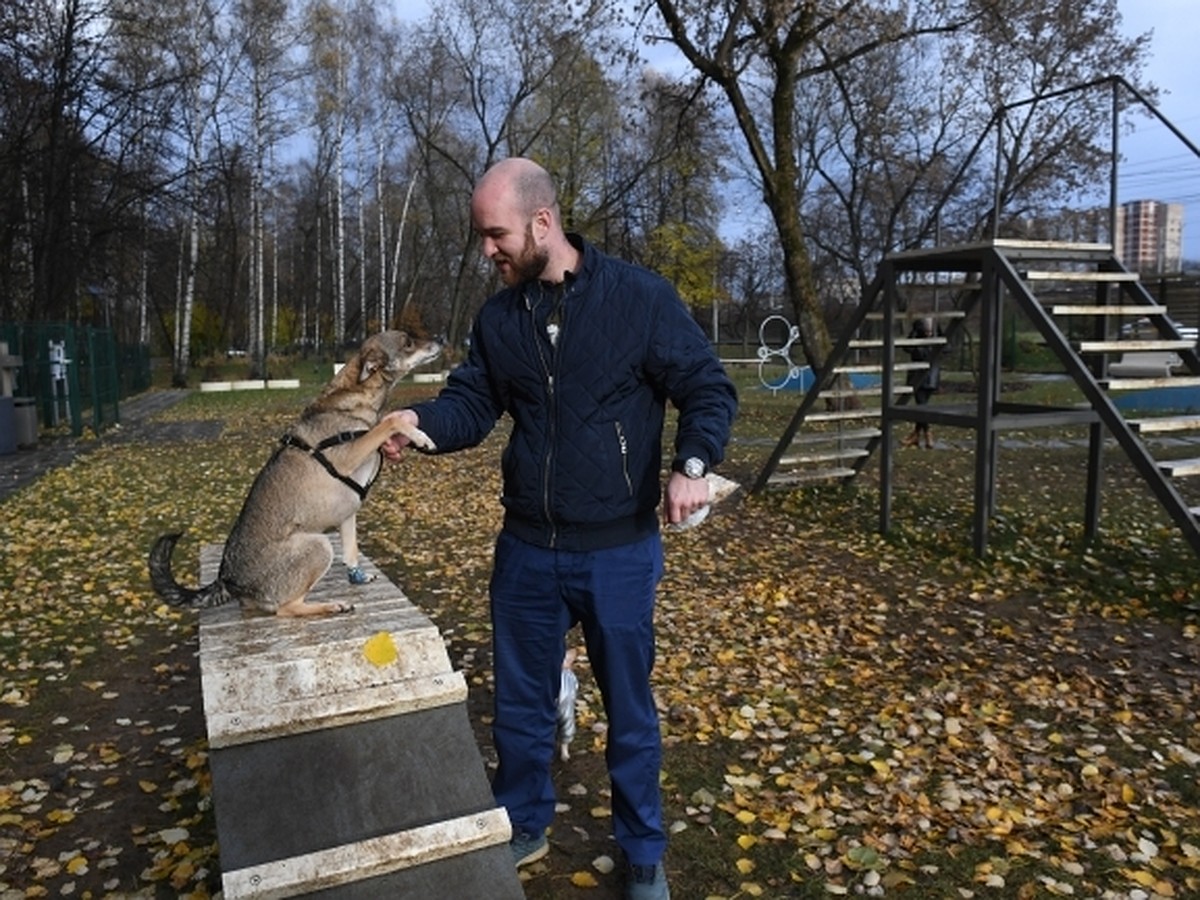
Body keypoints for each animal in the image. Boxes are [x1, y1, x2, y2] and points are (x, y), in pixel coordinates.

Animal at [150, 331, 441, 619]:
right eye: (408, 342)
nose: (440, 341)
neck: (354, 397)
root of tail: (228, 580)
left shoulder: (348, 512)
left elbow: (352, 552)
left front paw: (357, 575)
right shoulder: (349, 455)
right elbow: (390, 422)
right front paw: (421, 437)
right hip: (319, 545)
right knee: (286, 609)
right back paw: (330, 606)